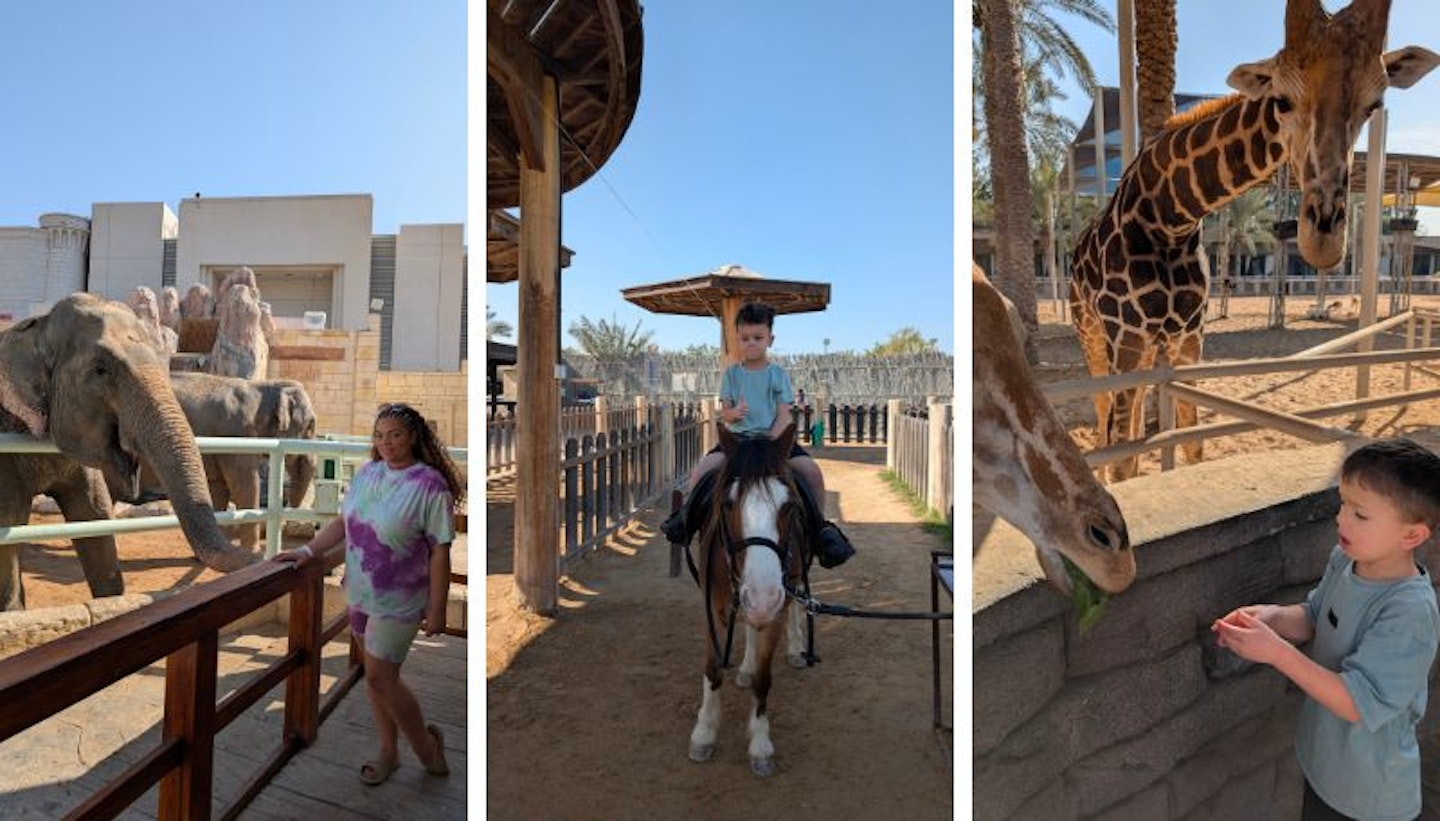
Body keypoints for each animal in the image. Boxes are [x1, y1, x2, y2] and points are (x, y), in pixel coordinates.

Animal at [691, 420, 817, 772]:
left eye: (789, 506)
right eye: (728, 504)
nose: (763, 596)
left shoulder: (774, 608)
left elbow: (764, 679)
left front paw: (761, 745)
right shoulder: (711, 608)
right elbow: (713, 669)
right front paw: (704, 733)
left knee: (796, 605)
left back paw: (796, 648)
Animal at [1071, 0, 1440, 478]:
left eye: (1374, 105)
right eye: (1282, 100)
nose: (1323, 239)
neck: (1170, 217)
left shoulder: (1188, 338)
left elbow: (1191, 446)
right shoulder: (1126, 337)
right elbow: (1122, 459)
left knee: (1128, 419)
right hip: (1093, 333)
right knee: (1103, 413)